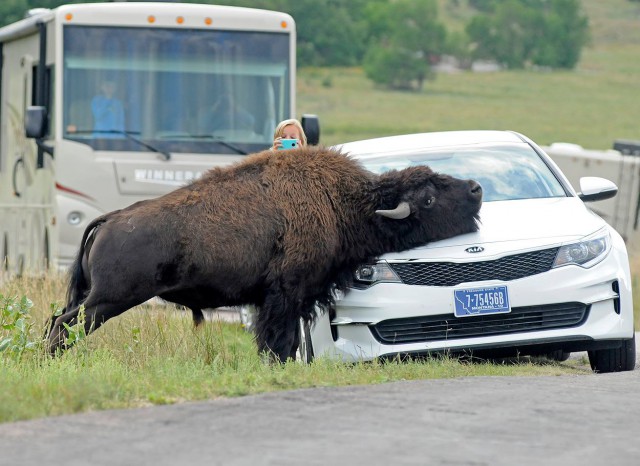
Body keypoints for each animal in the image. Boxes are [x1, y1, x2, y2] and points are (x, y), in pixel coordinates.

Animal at [48, 145, 480, 360]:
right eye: (428, 197)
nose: (476, 188)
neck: (343, 202)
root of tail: (110, 219)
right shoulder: (285, 295)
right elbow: (279, 338)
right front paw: (277, 364)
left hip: (96, 297)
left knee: (61, 320)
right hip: (109, 299)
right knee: (64, 324)